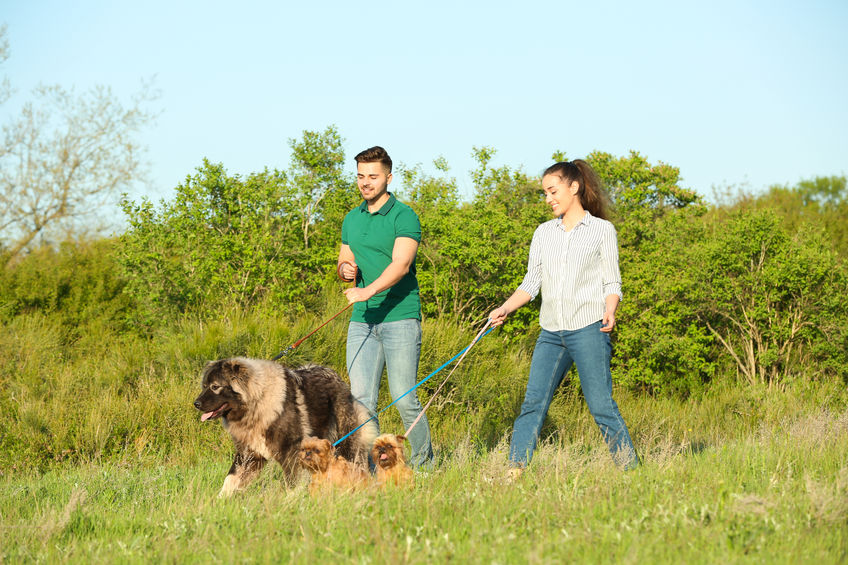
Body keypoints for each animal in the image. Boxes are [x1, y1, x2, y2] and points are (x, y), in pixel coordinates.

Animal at [194, 356, 380, 494]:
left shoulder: (291, 451)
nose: (196, 403)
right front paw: (220, 502)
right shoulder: (249, 454)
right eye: (204, 386)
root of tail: (338, 380)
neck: (258, 401)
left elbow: (293, 482)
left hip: (346, 440)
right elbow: (230, 480)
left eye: (215, 387)